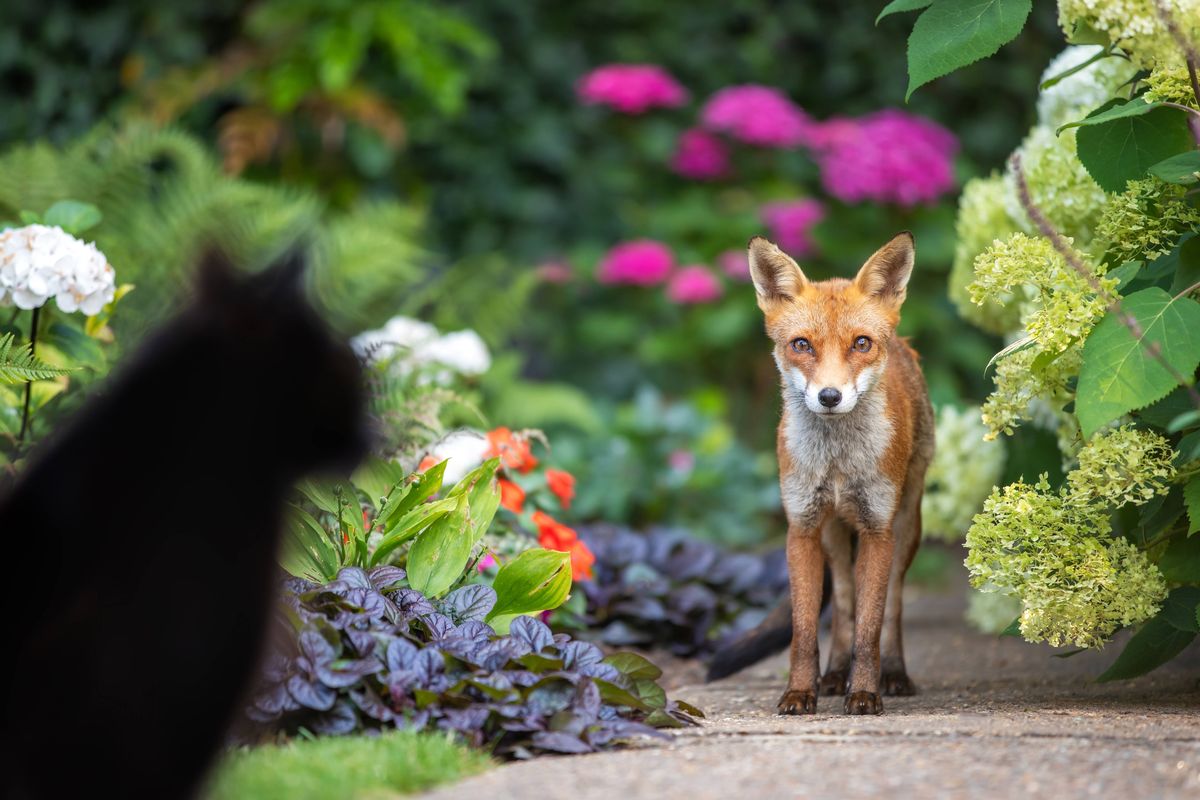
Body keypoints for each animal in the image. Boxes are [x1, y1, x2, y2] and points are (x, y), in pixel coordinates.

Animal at [717, 232, 934, 716]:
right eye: (802, 345)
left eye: (860, 343)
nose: (830, 396)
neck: (836, 464)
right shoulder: (801, 528)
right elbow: (804, 631)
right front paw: (801, 691)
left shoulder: (877, 530)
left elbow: (871, 629)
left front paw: (866, 692)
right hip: (834, 538)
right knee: (844, 606)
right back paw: (834, 674)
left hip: (906, 526)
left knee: (891, 606)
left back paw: (894, 674)